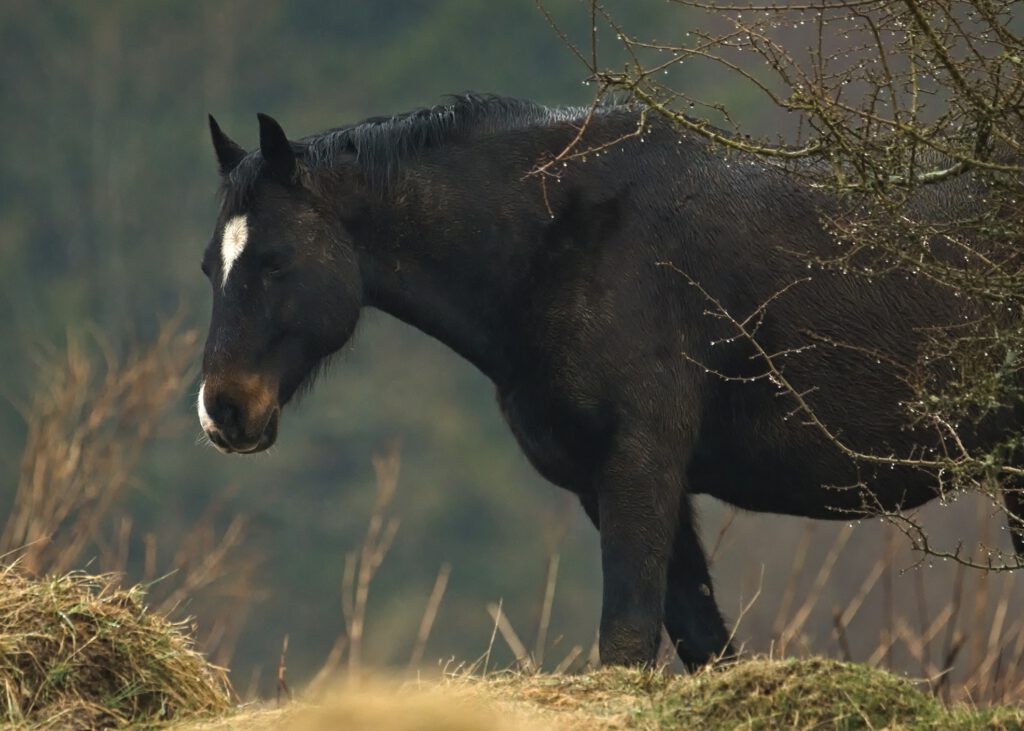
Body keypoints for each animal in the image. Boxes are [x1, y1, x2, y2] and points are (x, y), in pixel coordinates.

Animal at [195, 92, 1019, 667]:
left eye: (274, 261)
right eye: (211, 265)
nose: (222, 411)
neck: (562, 241)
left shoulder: (641, 464)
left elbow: (626, 638)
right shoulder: (609, 481)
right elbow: (700, 640)